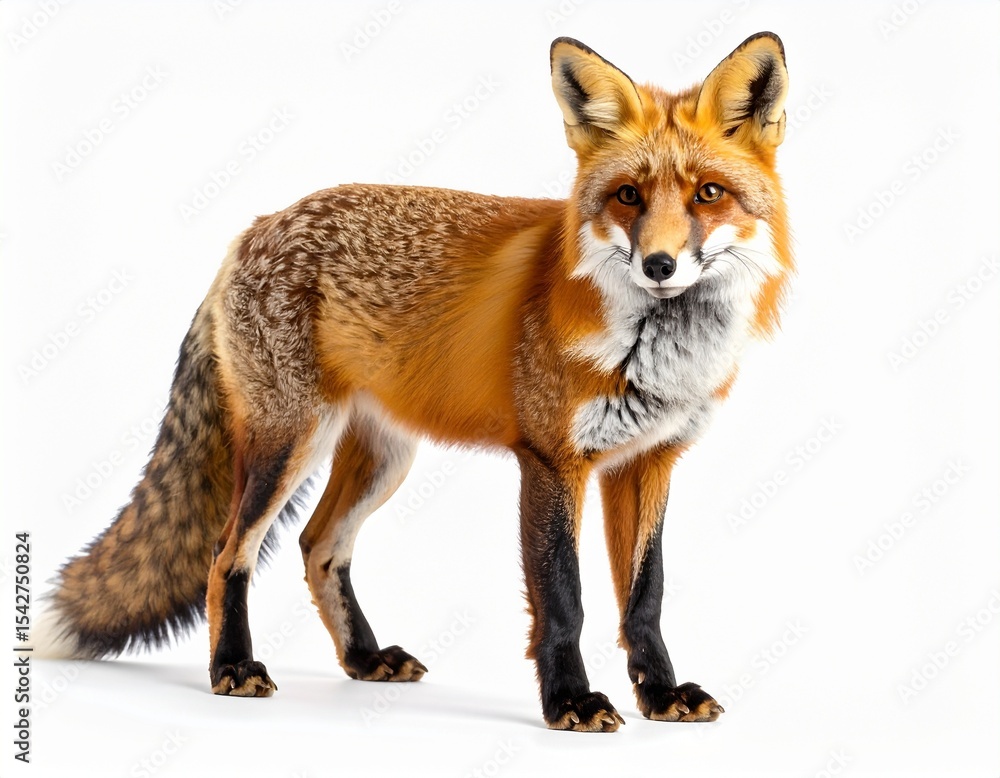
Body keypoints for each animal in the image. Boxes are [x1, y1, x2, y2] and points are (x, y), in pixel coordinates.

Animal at [35, 32, 792, 732]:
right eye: (628, 196)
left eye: (709, 195)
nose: (660, 265)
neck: (653, 353)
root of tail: (255, 227)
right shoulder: (552, 461)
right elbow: (564, 600)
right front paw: (570, 702)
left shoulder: (648, 460)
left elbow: (646, 596)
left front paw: (661, 694)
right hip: (290, 443)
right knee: (228, 555)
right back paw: (233, 667)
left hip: (383, 458)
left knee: (318, 547)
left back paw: (363, 659)